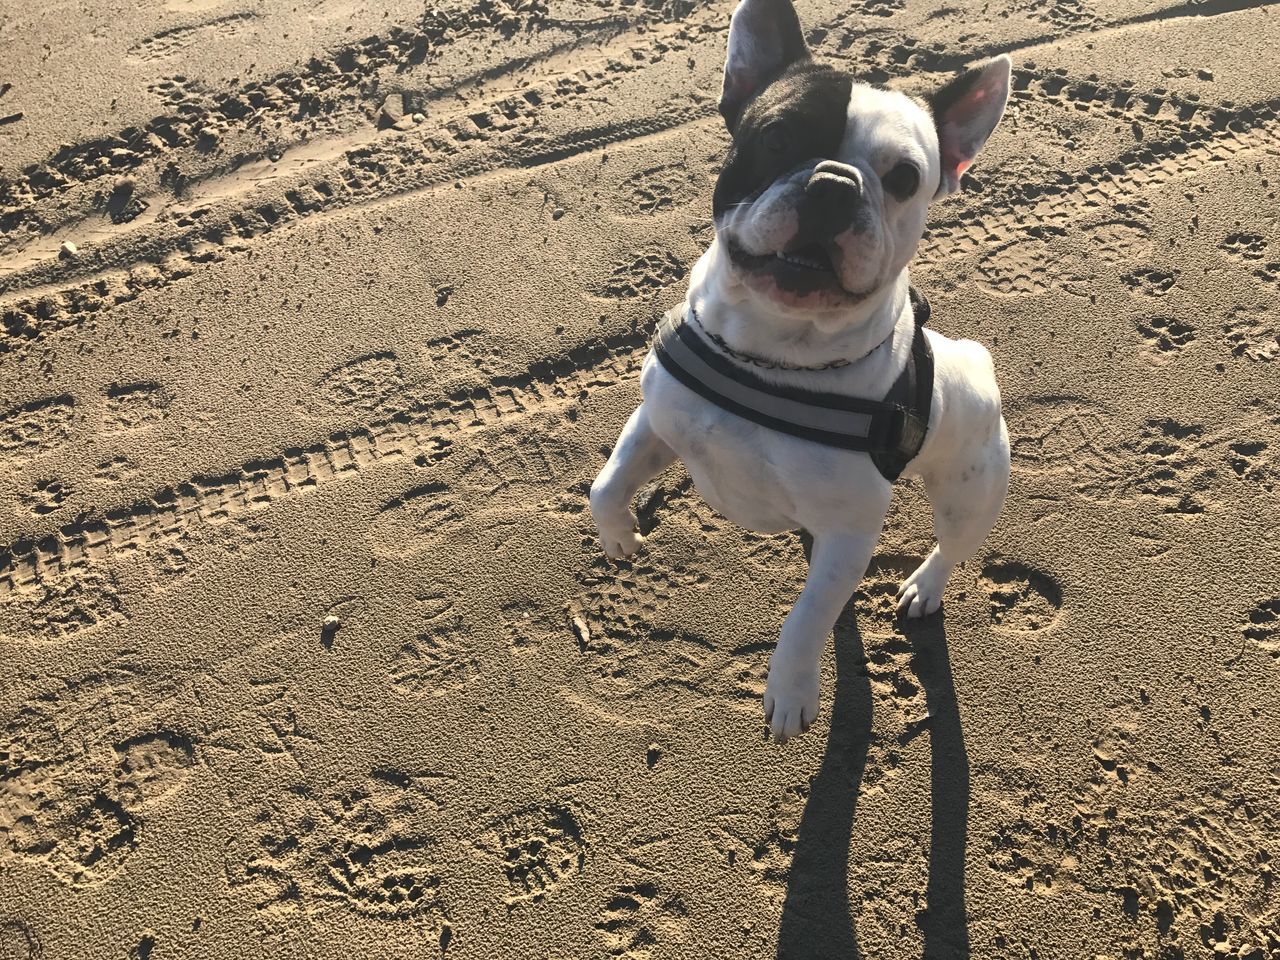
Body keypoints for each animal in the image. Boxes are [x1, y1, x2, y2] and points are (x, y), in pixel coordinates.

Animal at [586, 0, 1008, 742]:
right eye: (779, 137)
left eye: (904, 178)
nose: (834, 184)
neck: (770, 354)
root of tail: (973, 363)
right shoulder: (657, 422)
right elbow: (606, 483)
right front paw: (619, 536)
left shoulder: (850, 536)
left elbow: (808, 616)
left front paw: (790, 688)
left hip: (970, 494)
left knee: (950, 548)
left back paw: (924, 586)